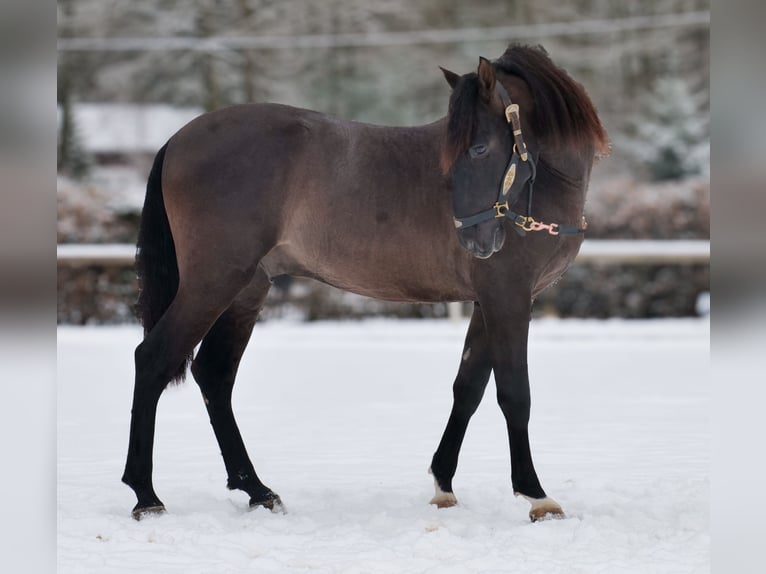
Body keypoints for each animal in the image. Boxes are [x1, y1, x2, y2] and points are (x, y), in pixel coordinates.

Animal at [122, 44, 609, 522]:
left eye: (479, 148)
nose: (475, 240)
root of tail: (179, 139)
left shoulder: (487, 302)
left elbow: (467, 389)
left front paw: (443, 484)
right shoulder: (507, 297)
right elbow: (513, 393)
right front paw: (536, 495)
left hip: (246, 290)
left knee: (214, 375)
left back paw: (257, 490)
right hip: (213, 282)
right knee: (153, 359)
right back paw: (146, 495)